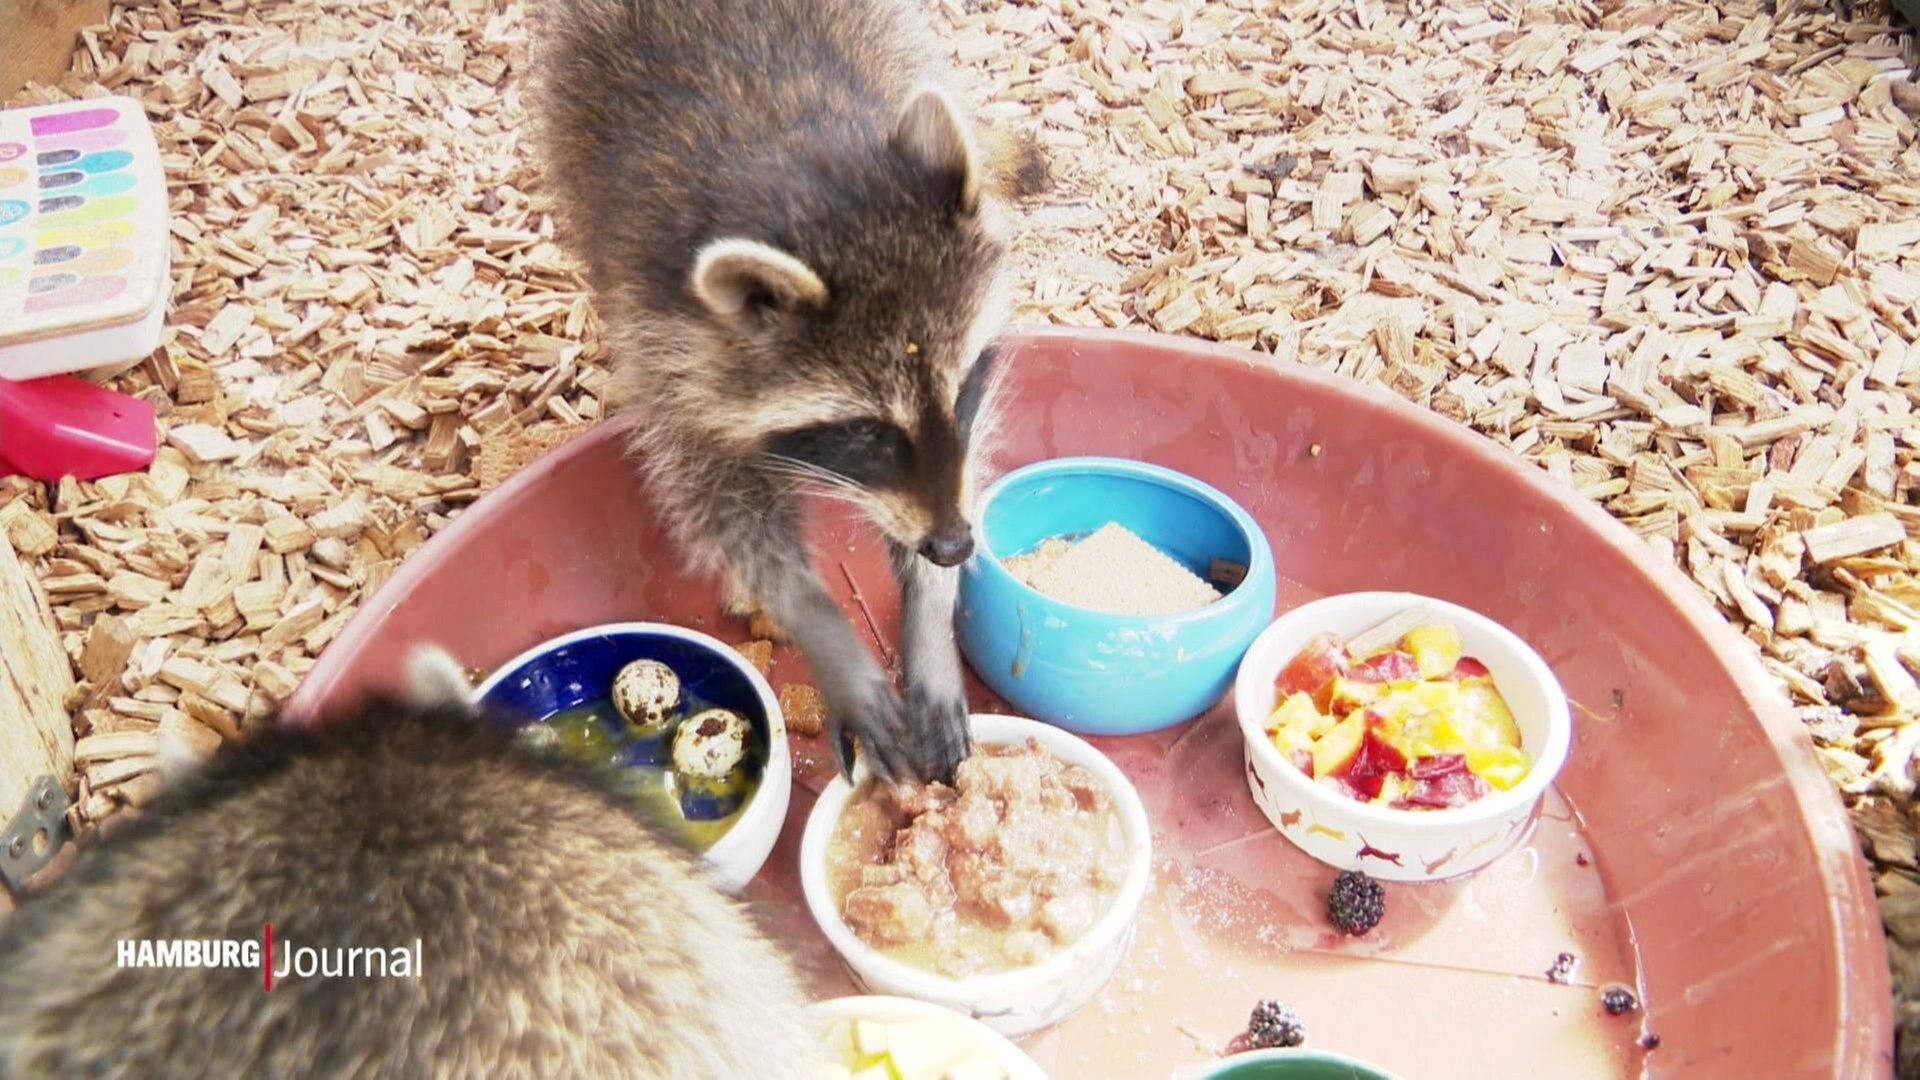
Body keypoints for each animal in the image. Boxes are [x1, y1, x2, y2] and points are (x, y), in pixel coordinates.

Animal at [533, 0, 1052, 780]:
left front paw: (928, 618)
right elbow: (718, 501)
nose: (956, 548)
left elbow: (966, 460)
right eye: (867, 433)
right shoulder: (668, 341)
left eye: (963, 388)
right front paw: (821, 626)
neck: (791, 157)